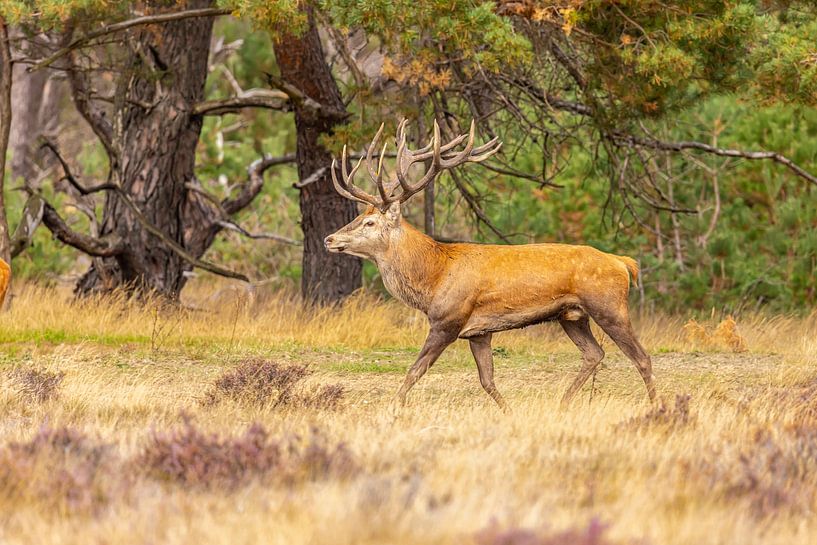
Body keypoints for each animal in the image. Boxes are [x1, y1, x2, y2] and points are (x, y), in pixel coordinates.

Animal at [324, 119, 656, 411]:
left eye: (369, 222)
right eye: (358, 216)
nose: (329, 238)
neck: (433, 279)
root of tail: (623, 263)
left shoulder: (448, 320)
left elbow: (414, 371)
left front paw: (392, 409)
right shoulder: (479, 332)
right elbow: (487, 380)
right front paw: (509, 413)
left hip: (608, 306)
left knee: (641, 357)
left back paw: (656, 405)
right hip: (572, 316)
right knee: (594, 354)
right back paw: (562, 404)